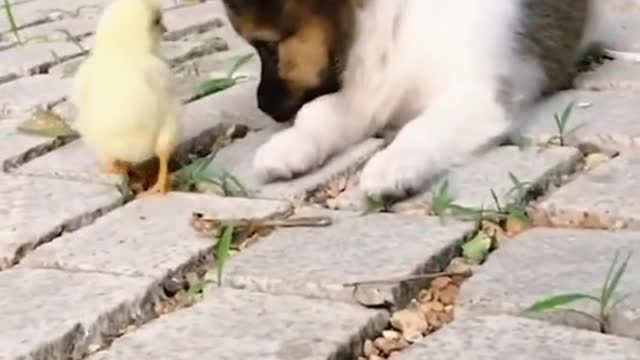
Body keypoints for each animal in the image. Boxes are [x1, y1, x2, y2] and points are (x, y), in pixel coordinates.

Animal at [222, 0, 604, 200]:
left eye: (269, 46)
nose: (263, 106)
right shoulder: (368, 87)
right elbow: (319, 114)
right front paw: (290, 145)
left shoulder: (477, 93)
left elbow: (422, 128)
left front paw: (394, 163)